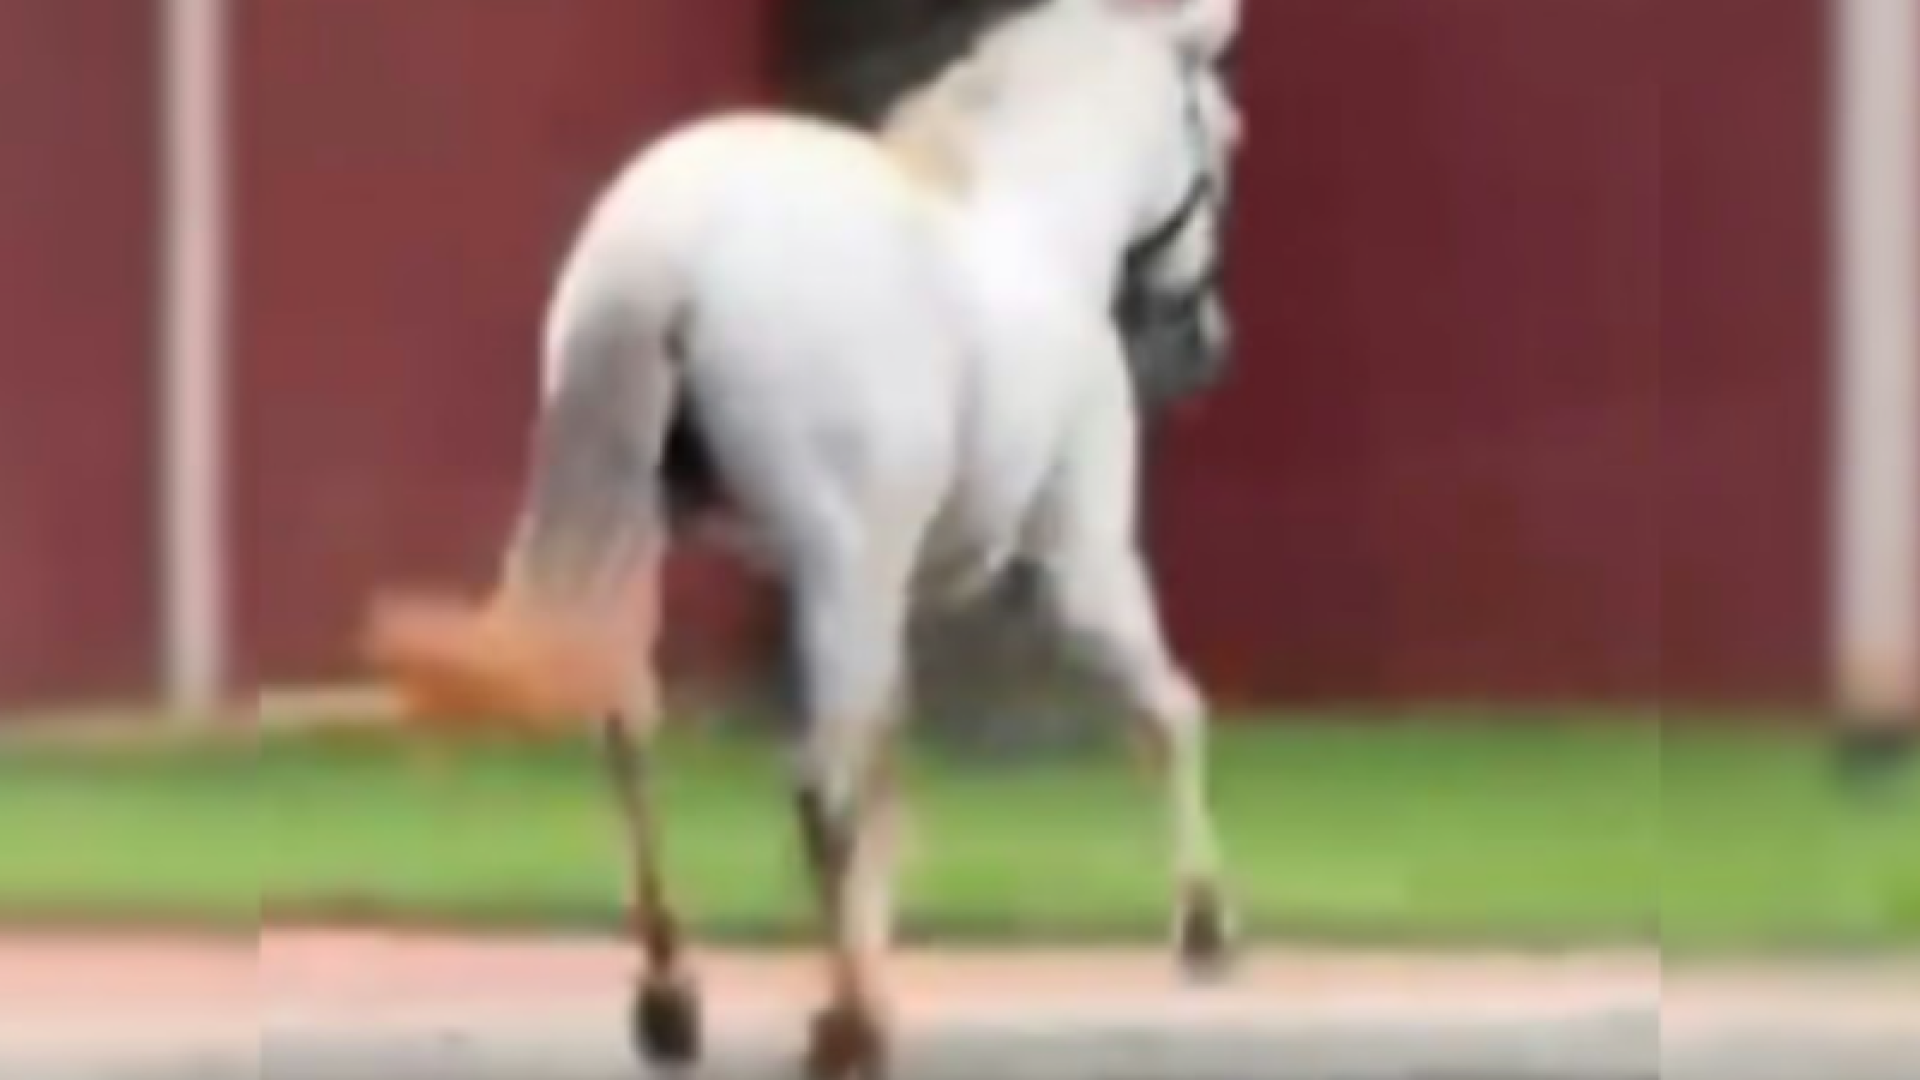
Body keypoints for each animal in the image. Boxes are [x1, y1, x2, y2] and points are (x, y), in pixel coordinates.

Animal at [369, 1, 1246, 1076]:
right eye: (1225, 135)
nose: (1206, 346)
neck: (1030, 217)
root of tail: (667, 246)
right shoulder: (1071, 561)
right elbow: (1168, 713)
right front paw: (1204, 928)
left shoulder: (883, 589)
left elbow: (886, 769)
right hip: (854, 562)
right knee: (817, 789)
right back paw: (847, 1024)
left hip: (651, 543)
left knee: (632, 739)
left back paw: (675, 996)